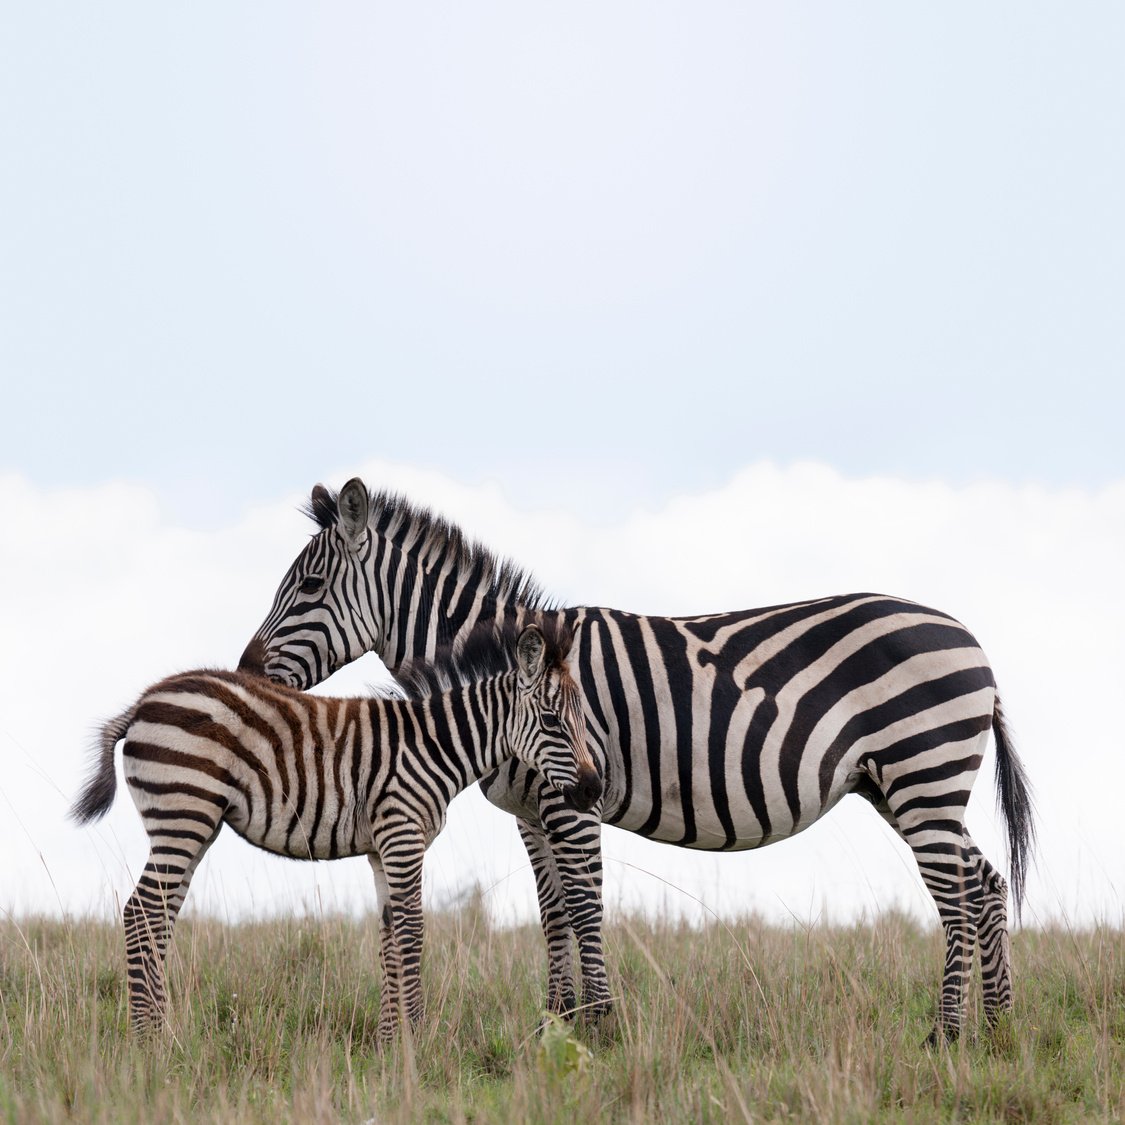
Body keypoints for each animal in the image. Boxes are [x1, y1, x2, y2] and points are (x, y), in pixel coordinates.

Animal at [70, 621, 598, 1039]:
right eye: (551, 721)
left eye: (580, 719)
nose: (593, 789)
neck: (435, 744)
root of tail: (143, 702)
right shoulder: (402, 833)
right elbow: (413, 932)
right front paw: (416, 1040)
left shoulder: (382, 846)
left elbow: (390, 938)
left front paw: (390, 1042)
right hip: (183, 812)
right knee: (141, 913)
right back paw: (148, 1041)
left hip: (191, 822)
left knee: (158, 916)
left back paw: (163, 1033)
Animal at [241, 477, 1030, 1044]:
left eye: (307, 588)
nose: (245, 672)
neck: (502, 669)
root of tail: (971, 639)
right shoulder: (532, 807)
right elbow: (553, 912)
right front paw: (554, 1028)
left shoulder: (571, 796)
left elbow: (586, 905)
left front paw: (602, 1027)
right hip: (902, 785)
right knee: (984, 883)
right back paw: (996, 1030)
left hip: (921, 773)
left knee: (956, 893)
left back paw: (944, 1034)